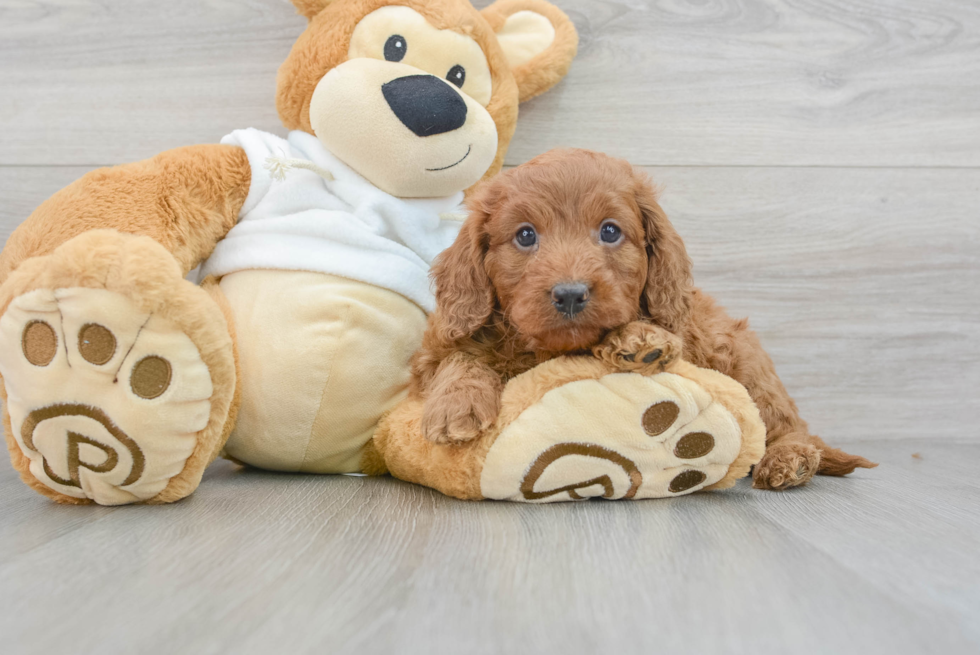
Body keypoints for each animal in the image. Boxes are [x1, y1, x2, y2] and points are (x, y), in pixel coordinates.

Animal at [410, 147, 876, 486]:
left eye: (610, 231)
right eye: (525, 235)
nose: (570, 294)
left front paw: (639, 340)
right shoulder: (438, 348)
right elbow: (459, 358)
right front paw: (456, 405)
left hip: (744, 359)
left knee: (787, 425)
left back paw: (789, 458)